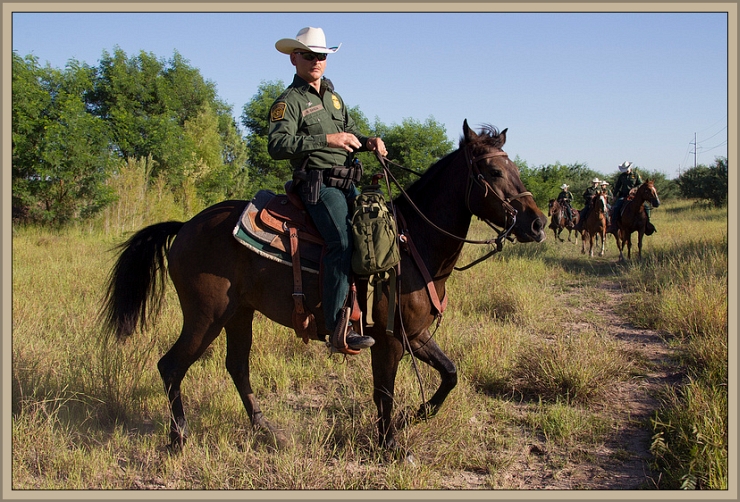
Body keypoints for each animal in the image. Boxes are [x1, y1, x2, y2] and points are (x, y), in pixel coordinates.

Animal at [100, 120, 548, 456]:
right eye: (493, 172)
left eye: (515, 169)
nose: (538, 223)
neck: (413, 243)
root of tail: (185, 227)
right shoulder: (389, 339)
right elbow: (384, 391)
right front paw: (390, 446)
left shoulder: (416, 334)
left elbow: (450, 375)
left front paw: (414, 416)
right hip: (204, 316)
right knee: (171, 366)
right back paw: (179, 438)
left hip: (238, 314)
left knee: (237, 367)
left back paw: (265, 431)